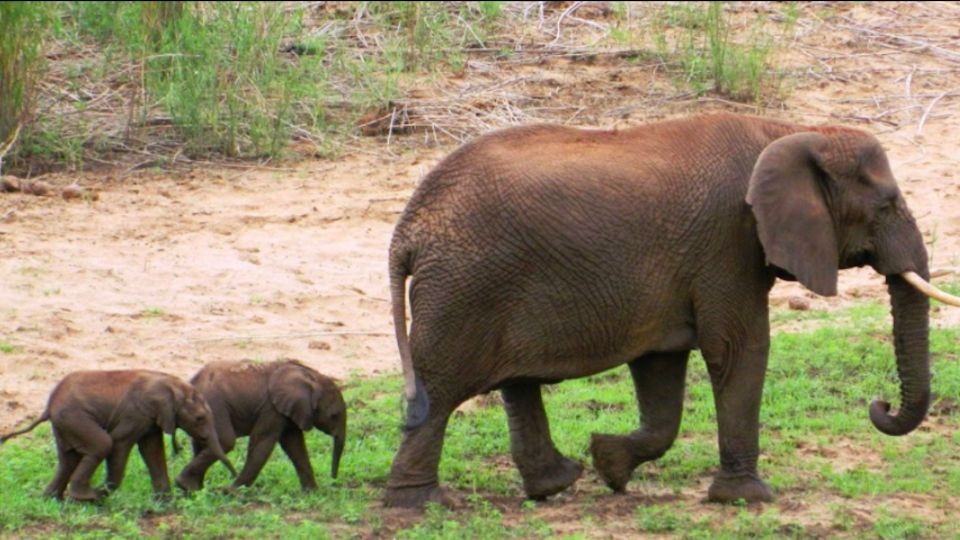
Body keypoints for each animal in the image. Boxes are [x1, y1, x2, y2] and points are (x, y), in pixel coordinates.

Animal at [0, 370, 236, 500]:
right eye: (199, 419)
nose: (231, 480)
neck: (173, 385)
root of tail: (49, 405)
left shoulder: (151, 418)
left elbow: (152, 450)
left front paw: (165, 503)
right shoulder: (137, 412)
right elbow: (120, 442)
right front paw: (103, 493)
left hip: (64, 424)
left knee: (68, 459)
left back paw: (53, 500)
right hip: (74, 417)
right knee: (102, 444)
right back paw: (86, 497)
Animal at [177, 360, 348, 492]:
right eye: (334, 415)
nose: (333, 481)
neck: (311, 376)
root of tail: (191, 383)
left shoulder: (288, 409)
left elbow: (295, 445)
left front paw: (312, 493)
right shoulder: (271, 408)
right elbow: (262, 444)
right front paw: (232, 492)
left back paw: (193, 489)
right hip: (214, 403)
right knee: (226, 441)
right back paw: (187, 486)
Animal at [384, 112, 960, 508]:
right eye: (886, 205)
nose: (879, 404)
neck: (792, 130)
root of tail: (408, 228)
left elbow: (661, 367)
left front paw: (611, 465)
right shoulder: (729, 241)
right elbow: (738, 349)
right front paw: (749, 498)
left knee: (514, 383)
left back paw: (556, 484)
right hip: (466, 289)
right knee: (442, 388)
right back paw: (423, 505)